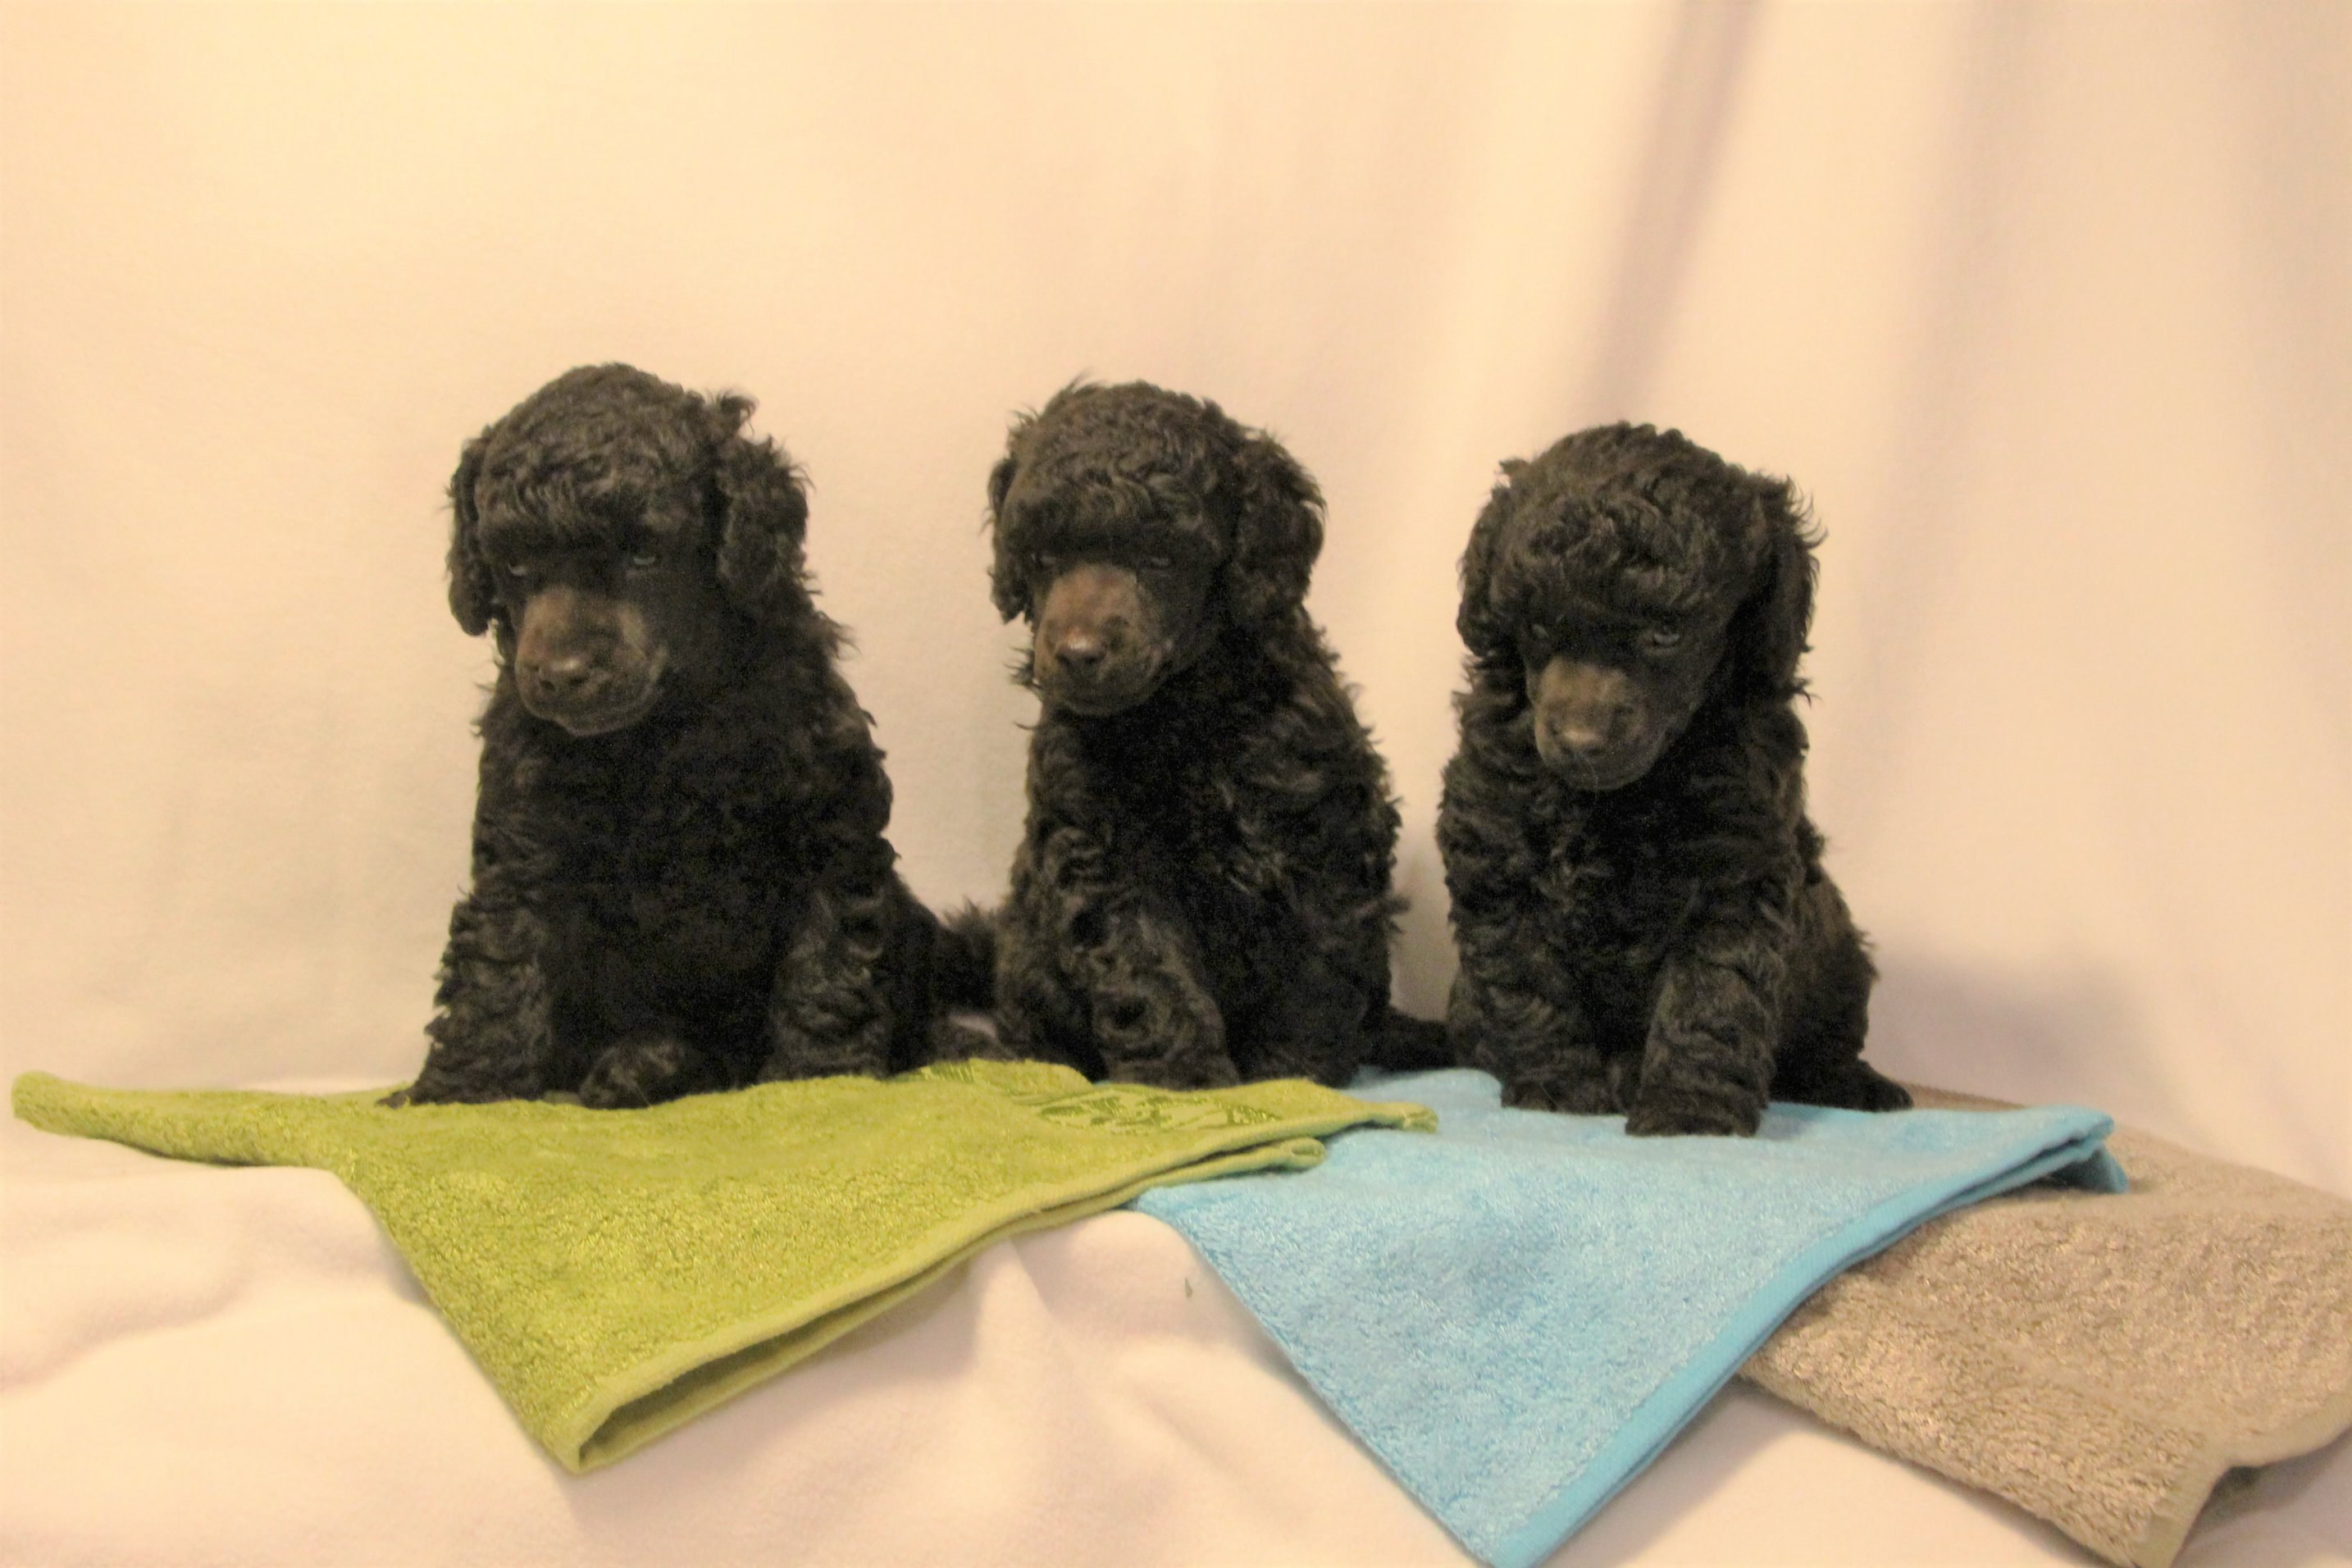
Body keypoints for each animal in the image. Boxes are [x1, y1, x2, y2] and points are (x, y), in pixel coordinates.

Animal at [392, 363, 985, 1108]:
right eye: (517, 566)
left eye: (645, 554)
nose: (560, 675)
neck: (662, 733)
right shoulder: (524, 843)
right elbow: (498, 959)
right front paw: (457, 1091)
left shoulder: (829, 834)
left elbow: (830, 968)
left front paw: (819, 1083)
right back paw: (645, 1063)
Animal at [982, 380, 1431, 1089]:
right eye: (1044, 556)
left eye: (1161, 557)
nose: (1076, 653)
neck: (1182, 712)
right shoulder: (1103, 854)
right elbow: (1147, 970)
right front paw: (1184, 1078)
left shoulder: (1324, 837)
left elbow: (1315, 974)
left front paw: (1289, 1078)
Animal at [1438, 422, 1908, 1135]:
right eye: (1540, 625)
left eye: (1665, 632)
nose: (1581, 744)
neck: (1613, 801)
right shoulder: (1496, 859)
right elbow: (1529, 982)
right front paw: (1558, 1089)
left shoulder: (1735, 873)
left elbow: (1713, 995)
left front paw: (1691, 1111)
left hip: (1839, 956)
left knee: (1825, 1043)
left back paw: (1859, 1085)